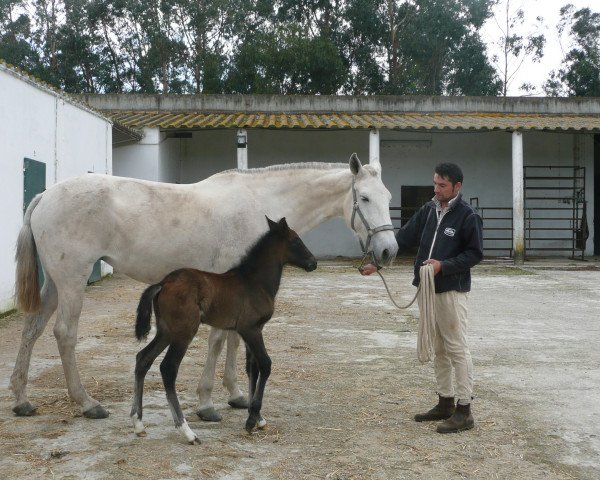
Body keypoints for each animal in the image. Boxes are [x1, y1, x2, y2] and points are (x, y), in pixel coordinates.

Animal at [131, 217, 316, 442]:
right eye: (296, 241)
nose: (313, 263)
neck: (255, 281)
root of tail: (163, 283)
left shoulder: (253, 330)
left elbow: (252, 368)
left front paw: (257, 417)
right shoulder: (250, 330)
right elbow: (265, 364)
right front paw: (251, 420)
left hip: (166, 331)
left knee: (143, 359)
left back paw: (138, 424)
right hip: (184, 332)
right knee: (168, 368)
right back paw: (186, 431)